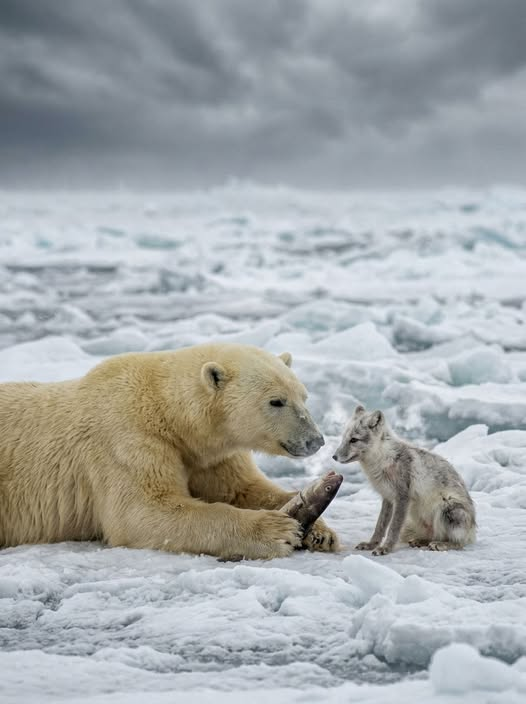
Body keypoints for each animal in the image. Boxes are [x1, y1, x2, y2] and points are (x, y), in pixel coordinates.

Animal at [0, 343, 339, 560]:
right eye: (276, 401)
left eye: (303, 396)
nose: (315, 440)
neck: (167, 410)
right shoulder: (125, 440)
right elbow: (144, 512)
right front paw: (277, 530)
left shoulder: (210, 455)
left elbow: (244, 489)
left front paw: (320, 531)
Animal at [333, 405, 476, 555]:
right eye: (344, 438)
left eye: (354, 440)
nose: (334, 457)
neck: (383, 459)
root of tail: (472, 530)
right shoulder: (388, 497)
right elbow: (380, 526)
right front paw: (371, 544)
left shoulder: (402, 497)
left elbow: (393, 528)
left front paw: (385, 548)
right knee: (432, 536)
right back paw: (420, 541)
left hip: (447, 507)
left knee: (458, 543)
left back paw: (441, 545)